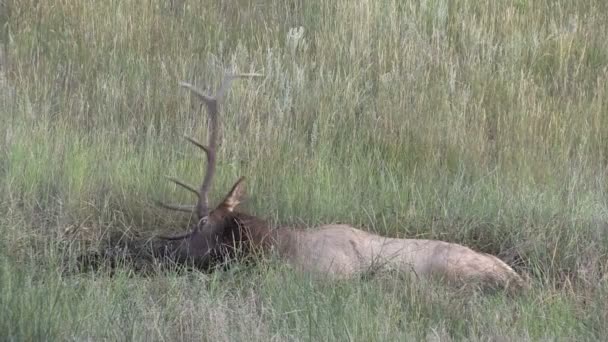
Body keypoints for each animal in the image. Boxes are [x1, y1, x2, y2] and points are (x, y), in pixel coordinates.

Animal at [157, 73, 528, 292]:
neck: (278, 248)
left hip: (452, 270)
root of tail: (519, 279)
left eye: (201, 224)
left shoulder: (333, 272)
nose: (169, 255)